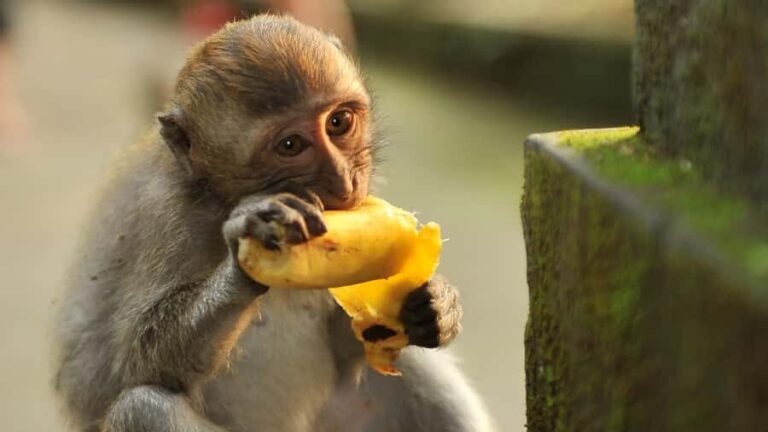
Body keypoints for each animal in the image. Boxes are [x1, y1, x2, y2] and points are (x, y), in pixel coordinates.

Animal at [52, 14, 495, 432]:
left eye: (338, 122)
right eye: (290, 145)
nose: (344, 181)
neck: (219, 198)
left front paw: (437, 304)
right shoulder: (169, 218)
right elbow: (134, 362)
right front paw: (246, 254)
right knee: (142, 407)